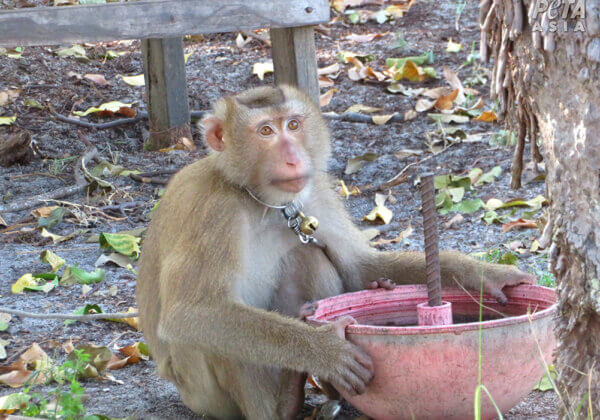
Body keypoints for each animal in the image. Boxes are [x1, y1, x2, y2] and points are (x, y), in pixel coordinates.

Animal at [137, 85, 536, 420]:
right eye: (265, 132)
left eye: (293, 125)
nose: (294, 158)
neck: (258, 201)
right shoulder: (213, 213)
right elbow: (191, 313)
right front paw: (327, 350)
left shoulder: (315, 192)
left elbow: (359, 267)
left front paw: (483, 274)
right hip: (201, 393)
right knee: (214, 329)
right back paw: (282, 405)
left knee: (307, 258)